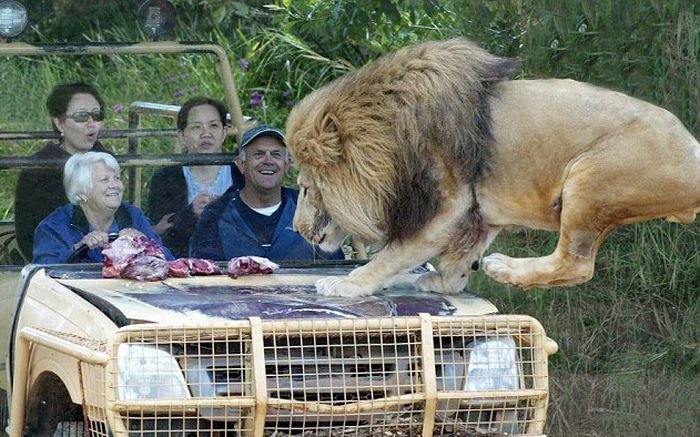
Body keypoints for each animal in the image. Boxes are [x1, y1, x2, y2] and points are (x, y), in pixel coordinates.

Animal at [286, 38, 700, 296]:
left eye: (305, 187)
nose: (298, 229)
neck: (387, 137)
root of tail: (693, 147)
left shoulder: (446, 205)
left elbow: (393, 254)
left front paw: (348, 284)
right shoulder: (477, 210)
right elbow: (458, 257)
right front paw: (445, 283)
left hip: (590, 179)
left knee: (576, 264)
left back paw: (504, 268)